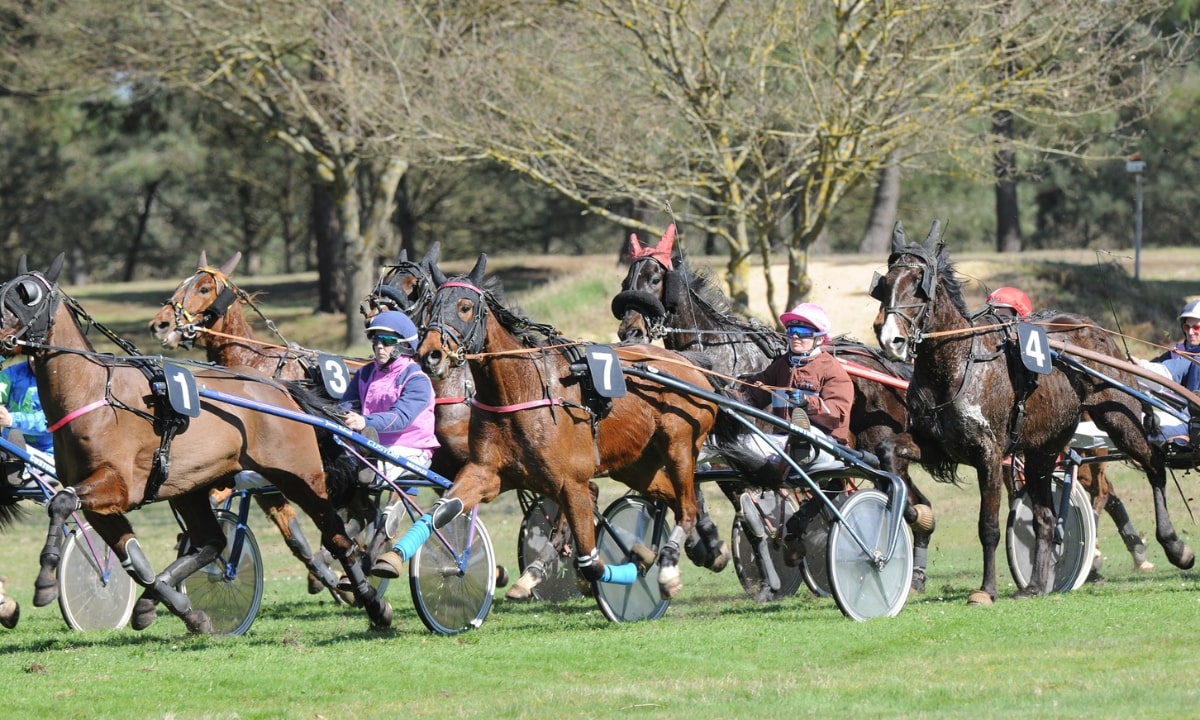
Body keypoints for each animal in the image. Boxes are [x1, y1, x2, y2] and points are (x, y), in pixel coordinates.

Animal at [393, 254, 729, 602]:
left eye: (465, 306)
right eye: (432, 307)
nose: (431, 354)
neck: (520, 389)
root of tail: (688, 363)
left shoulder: (573, 482)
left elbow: (590, 562)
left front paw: (630, 566)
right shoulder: (486, 472)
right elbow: (443, 509)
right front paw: (392, 557)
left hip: (679, 444)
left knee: (687, 506)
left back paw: (669, 567)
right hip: (635, 465)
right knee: (676, 498)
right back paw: (699, 548)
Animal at [609, 225, 936, 590]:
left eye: (654, 279)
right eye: (626, 282)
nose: (630, 331)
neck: (715, 356)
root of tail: (885, 364)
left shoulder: (738, 447)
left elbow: (744, 504)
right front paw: (702, 545)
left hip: (875, 444)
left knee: (902, 496)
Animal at [873, 220, 1190, 602]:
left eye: (919, 285)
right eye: (885, 284)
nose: (890, 339)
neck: (958, 365)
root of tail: (1092, 328)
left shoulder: (988, 454)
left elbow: (988, 526)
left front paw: (986, 590)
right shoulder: (936, 444)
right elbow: (888, 452)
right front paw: (916, 513)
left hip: (1117, 417)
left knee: (1154, 464)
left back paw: (1175, 546)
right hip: (1044, 449)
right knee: (1045, 518)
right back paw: (1037, 584)